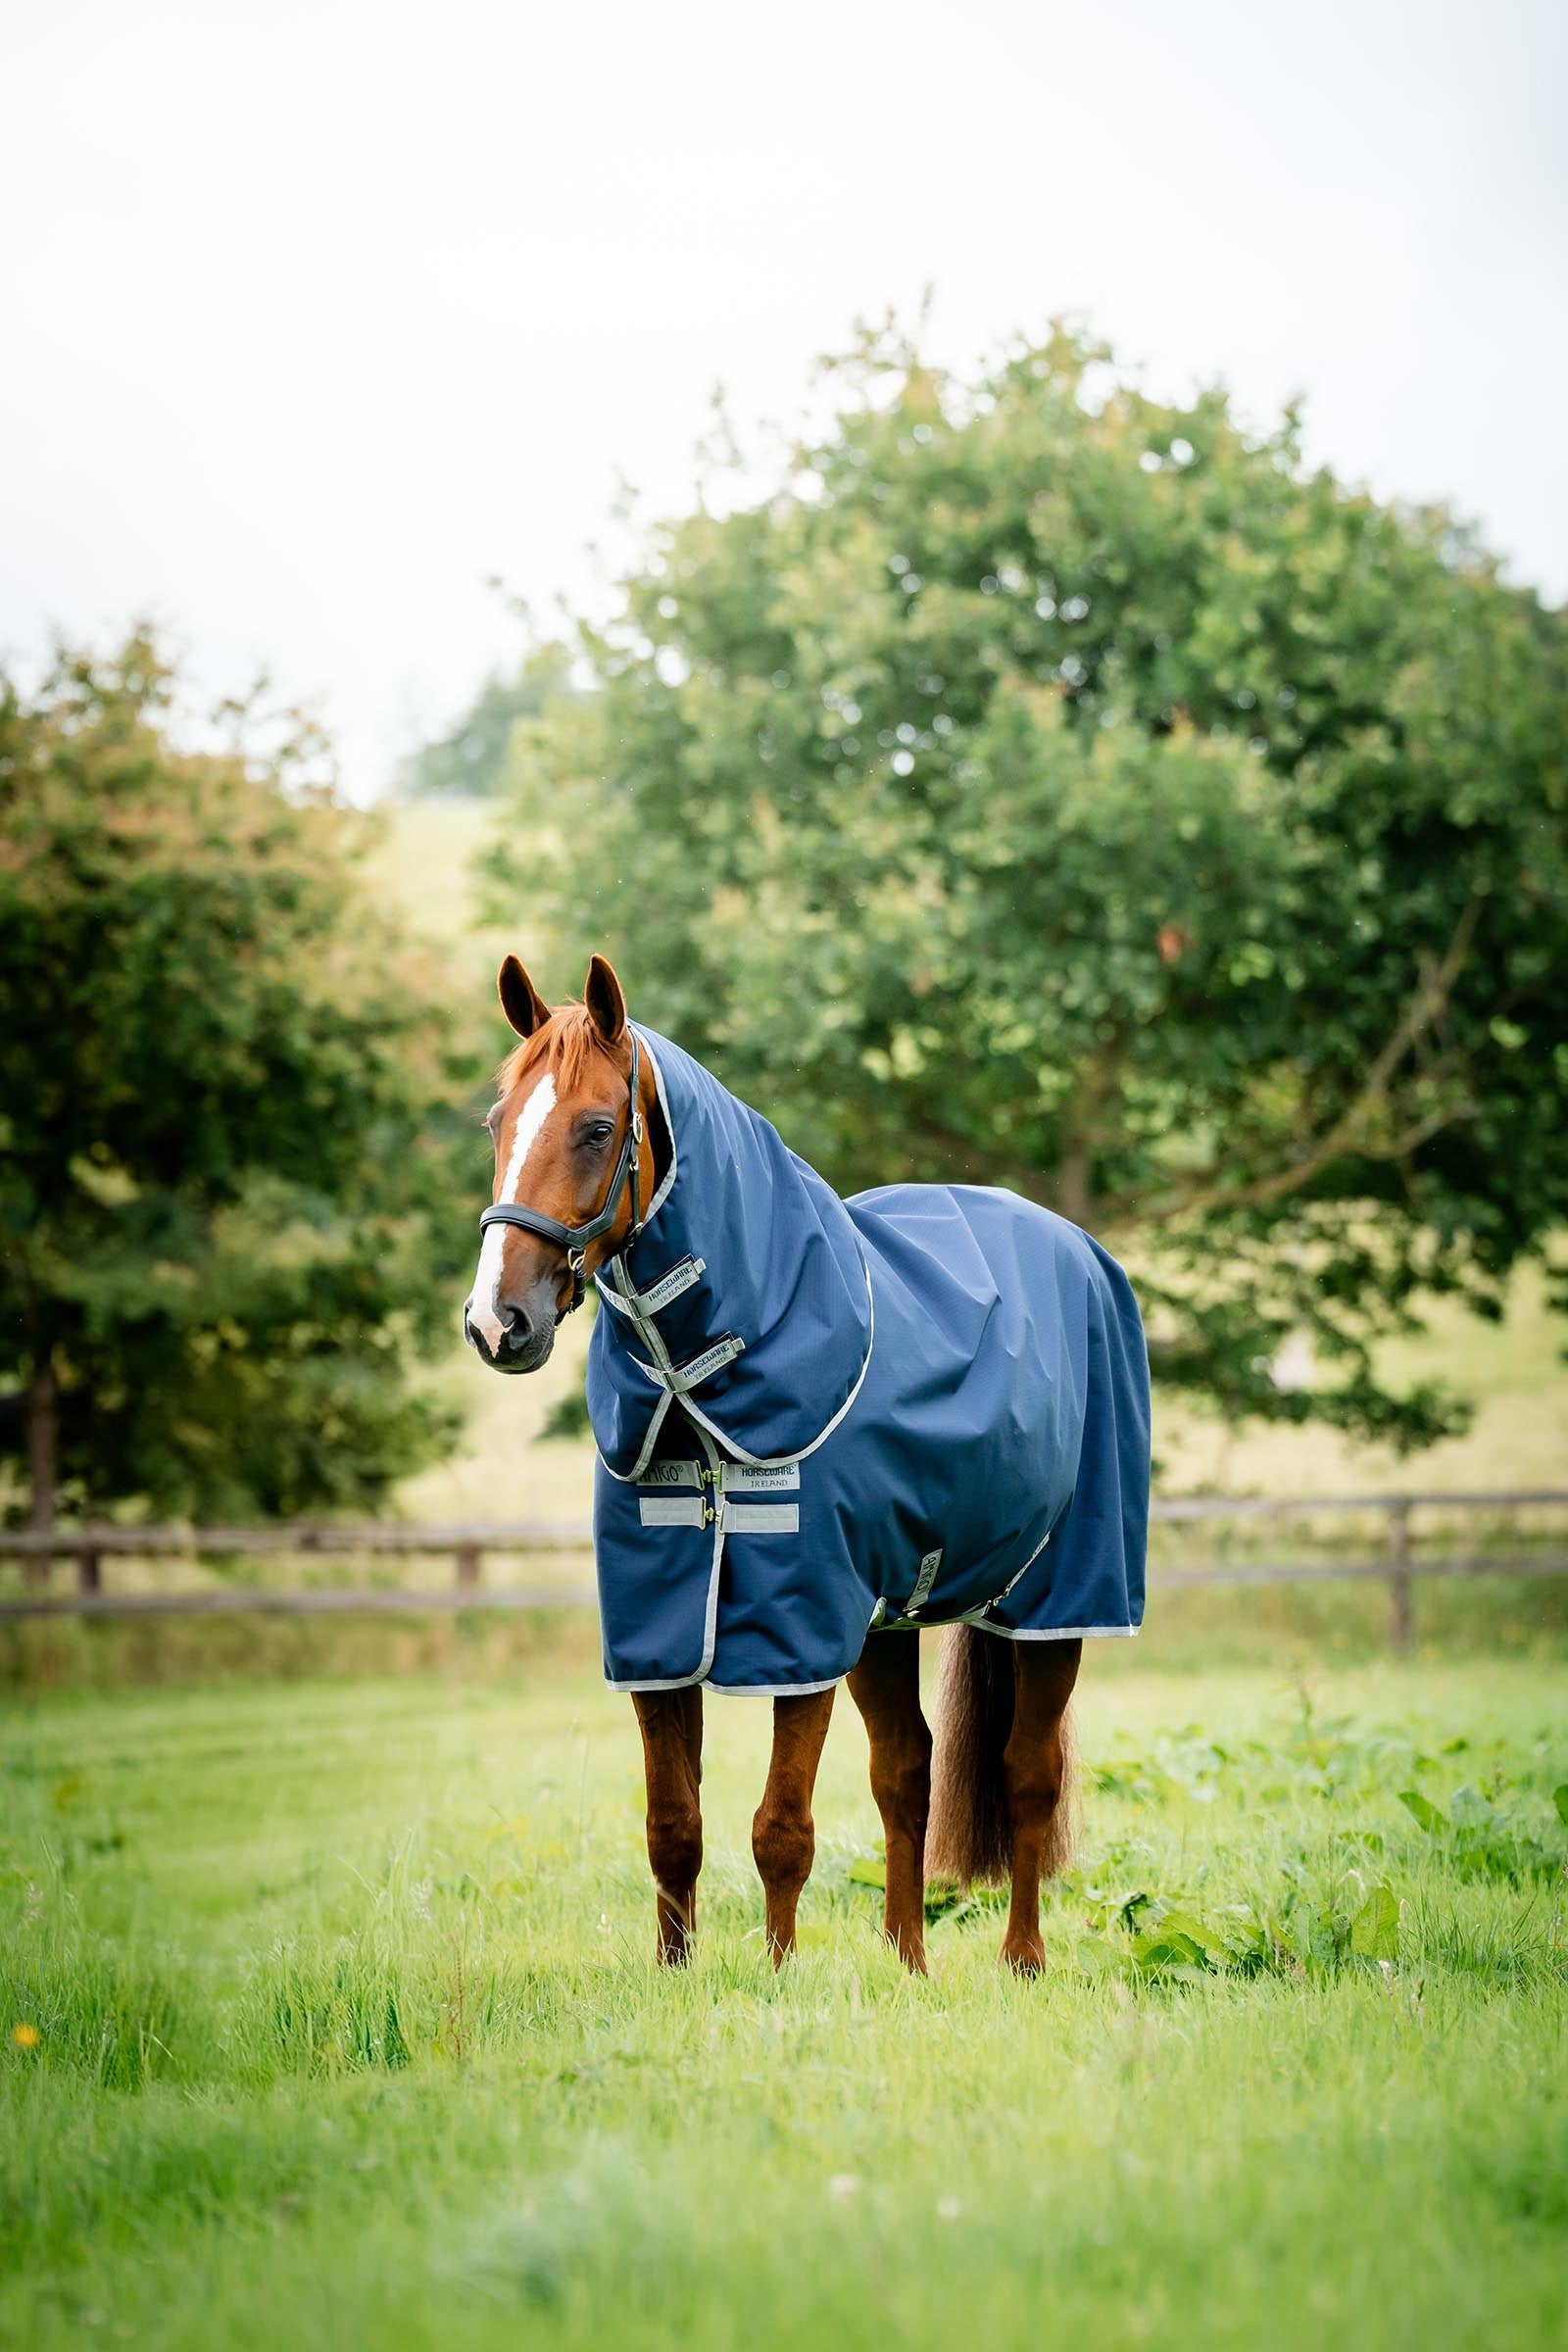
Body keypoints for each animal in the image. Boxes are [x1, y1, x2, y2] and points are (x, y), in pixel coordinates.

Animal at [463, 953, 1150, 1975]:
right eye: (498, 1123)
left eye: (595, 1128)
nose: (497, 1322)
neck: (700, 1385)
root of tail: (1077, 1249)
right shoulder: (663, 1626)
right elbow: (674, 1825)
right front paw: (676, 1975)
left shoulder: (802, 1625)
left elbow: (780, 1827)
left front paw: (778, 1977)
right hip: (888, 1617)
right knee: (907, 1769)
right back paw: (907, 1961)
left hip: (1057, 1597)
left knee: (1029, 1771)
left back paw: (1023, 1959)